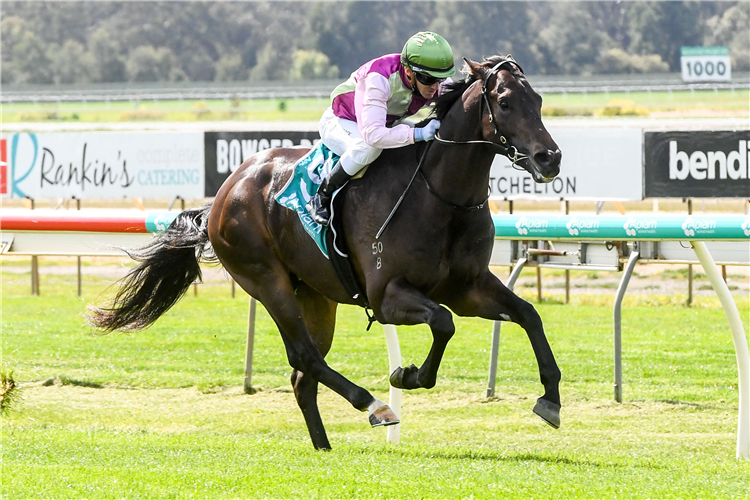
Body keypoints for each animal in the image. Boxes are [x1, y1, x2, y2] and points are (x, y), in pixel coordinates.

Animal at [88, 54, 564, 450]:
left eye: (538, 99)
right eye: (504, 102)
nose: (551, 158)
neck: (439, 195)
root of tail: (224, 194)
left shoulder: (468, 288)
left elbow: (528, 315)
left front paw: (551, 399)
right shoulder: (388, 296)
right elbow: (443, 323)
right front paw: (406, 375)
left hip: (315, 295)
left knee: (302, 376)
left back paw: (324, 446)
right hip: (267, 280)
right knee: (304, 356)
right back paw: (375, 406)